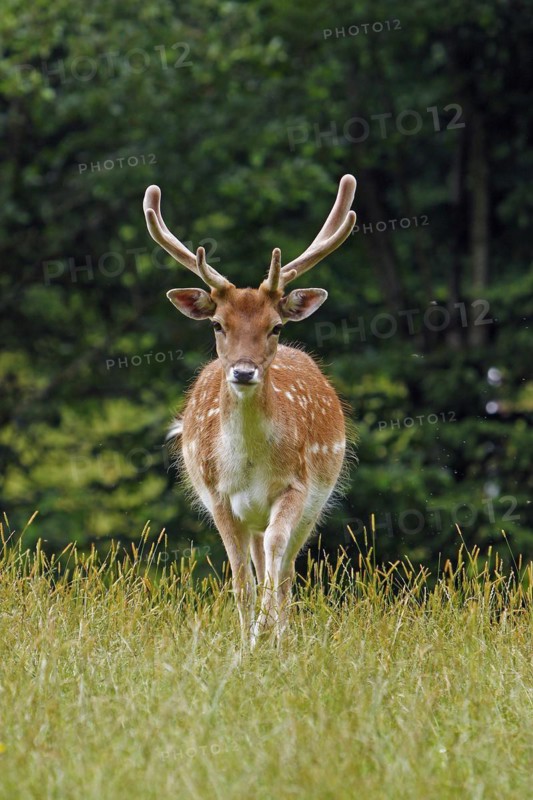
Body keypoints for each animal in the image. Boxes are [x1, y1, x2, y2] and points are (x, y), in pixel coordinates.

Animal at [143, 174, 357, 645]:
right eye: (217, 324)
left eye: (274, 327)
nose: (243, 371)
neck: (250, 465)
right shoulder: (217, 495)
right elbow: (241, 576)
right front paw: (247, 639)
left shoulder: (297, 485)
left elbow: (276, 561)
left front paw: (266, 632)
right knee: (258, 562)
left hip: (317, 498)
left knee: (285, 564)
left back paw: (282, 631)